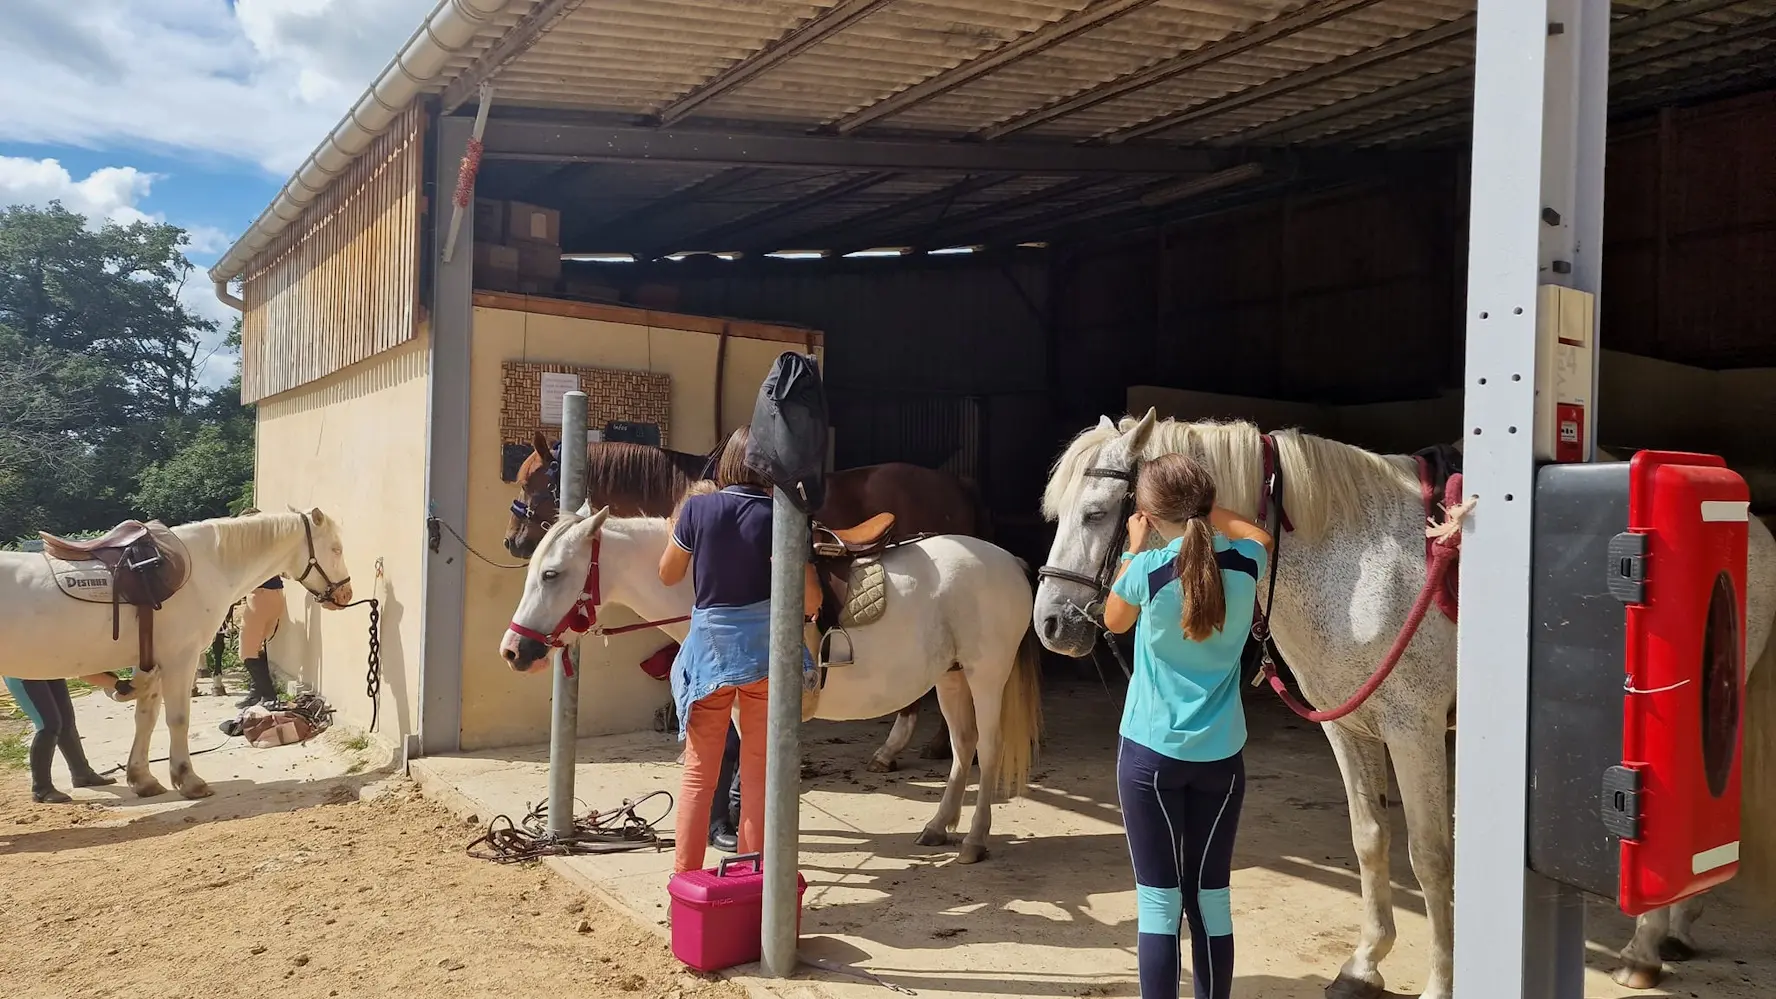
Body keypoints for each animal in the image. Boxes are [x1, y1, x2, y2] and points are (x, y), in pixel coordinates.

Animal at [0, 508, 353, 796]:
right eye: (336, 549)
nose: (346, 593)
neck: (207, 566)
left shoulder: (150, 665)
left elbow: (145, 719)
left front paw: (142, 779)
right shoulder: (180, 659)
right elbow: (178, 719)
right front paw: (188, 780)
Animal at [493, 504, 1044, 863]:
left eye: (551, 573)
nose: (513, 651)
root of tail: (1010, 561)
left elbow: (748, 769)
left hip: (985, 676)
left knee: (988, 748)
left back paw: (974, 841)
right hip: (950, 678)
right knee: (962, 745)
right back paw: (937, 826)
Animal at [1037, 407, 1776, 995]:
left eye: (1097, 514)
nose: (1051, 623)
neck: (1354, 562)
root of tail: (1752, 521)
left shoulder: (1414, 731)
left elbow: (1431, 855)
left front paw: (1441, 982)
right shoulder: (1350, 727)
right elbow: (1371, 840)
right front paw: (1364, 964)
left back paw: (1644, 950)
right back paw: (1677, 931)